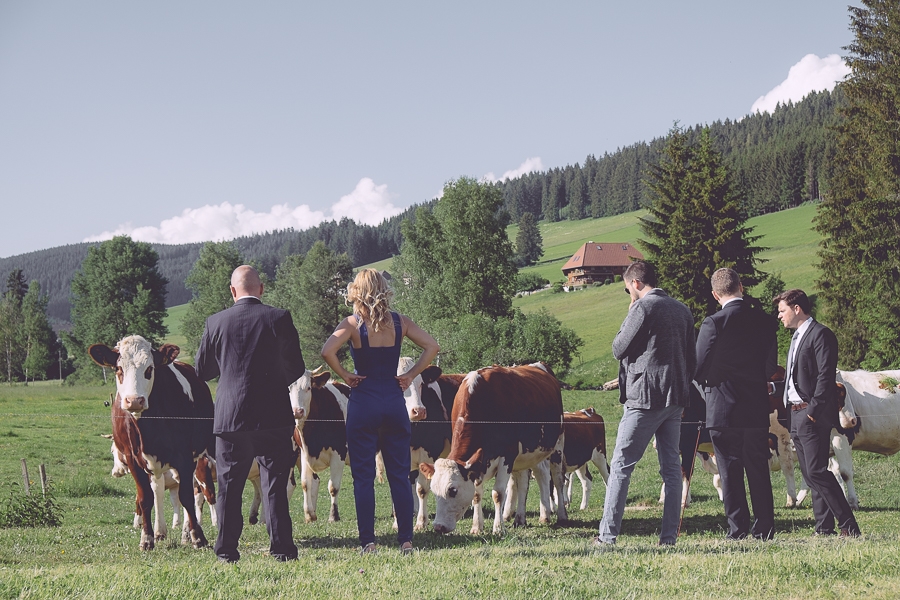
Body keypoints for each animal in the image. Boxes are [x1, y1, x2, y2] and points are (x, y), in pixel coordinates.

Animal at [90, 336, 214, 552]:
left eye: (149, 368)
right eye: (118, 369)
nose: (134, 401)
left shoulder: (184, 457)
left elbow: (186, 497)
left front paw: (198, 538)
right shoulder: (133, 459)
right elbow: (145, 498)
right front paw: (146, 539)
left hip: (195, 460)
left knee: (192, 492)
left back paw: (186, 534)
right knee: (157, 491)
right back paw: (160, 531)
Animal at [430, 360, 568, 536]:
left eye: (452, 490)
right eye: (434, 490)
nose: (438, 527)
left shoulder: (507, 456)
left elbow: (498, 494)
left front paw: (498, 528)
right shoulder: (479, 463)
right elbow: (476, 495)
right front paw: (477, 527)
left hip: (557, 445)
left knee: (557, 479)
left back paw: (560, 516)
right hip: (527, 454)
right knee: (529, 480)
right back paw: (524, 518)